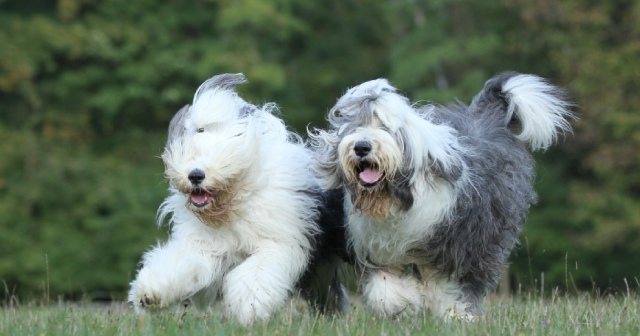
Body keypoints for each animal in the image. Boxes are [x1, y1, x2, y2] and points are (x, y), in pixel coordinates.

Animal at [127, 72, 348, 324]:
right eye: (190, 154)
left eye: (220, 155)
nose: (195, 175)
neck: (236, 200)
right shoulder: (205, 244)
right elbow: (183, 262)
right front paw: (150, 292)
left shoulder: (278, 240)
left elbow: (256, 272)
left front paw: (248, 307)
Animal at [310, 71, 576, 320]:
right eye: (356, 127)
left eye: (387, 129)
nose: (362, 147)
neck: (397, 199)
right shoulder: (374, 247)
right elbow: (383, 288)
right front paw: (405, 303)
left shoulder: (460, 244)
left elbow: (450, 286)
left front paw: (456, 315)